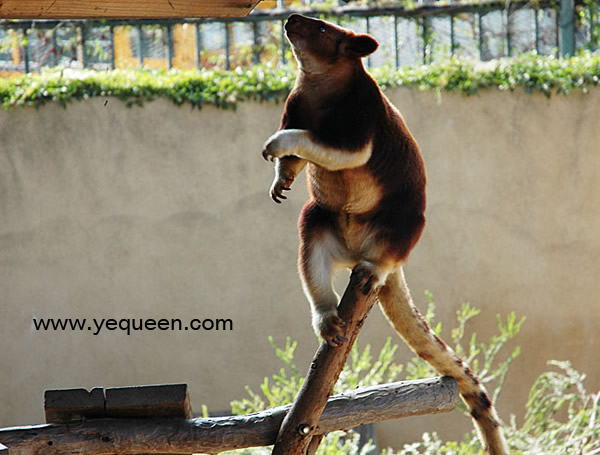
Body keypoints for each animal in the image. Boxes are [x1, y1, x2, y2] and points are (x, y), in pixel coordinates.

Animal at [261, 14, 509, 455]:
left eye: (321, 28)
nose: (290, 19)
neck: (318, 83)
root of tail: (360, 251)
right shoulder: (294, 104)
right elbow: (298, 156)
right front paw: (280, 179)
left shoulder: (362, 114)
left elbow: (340, 150)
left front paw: (275, 144)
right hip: (323, 222)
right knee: (311, 245)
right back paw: (327, 317)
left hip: (399, 221)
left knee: (395, 240)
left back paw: (374, 268)